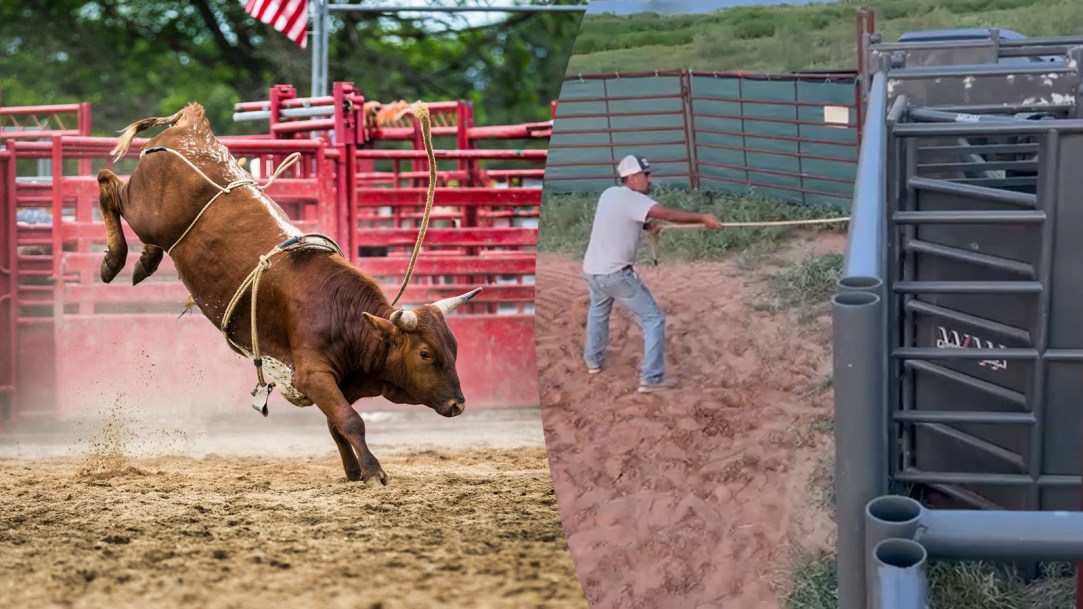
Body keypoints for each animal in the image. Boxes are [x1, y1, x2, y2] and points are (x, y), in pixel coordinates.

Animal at [95, 102, 482, 485]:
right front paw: (374, 473)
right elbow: (351, 421)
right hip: (143, 210)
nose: (458, 404)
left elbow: (337, 424)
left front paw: (353, 471)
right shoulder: (313, 376)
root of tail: (193, 125)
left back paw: (145, 260)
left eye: (454, 347)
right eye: (425, 354)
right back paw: (114, 260)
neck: (342, 314)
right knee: (107, 182)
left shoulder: (342, 382)